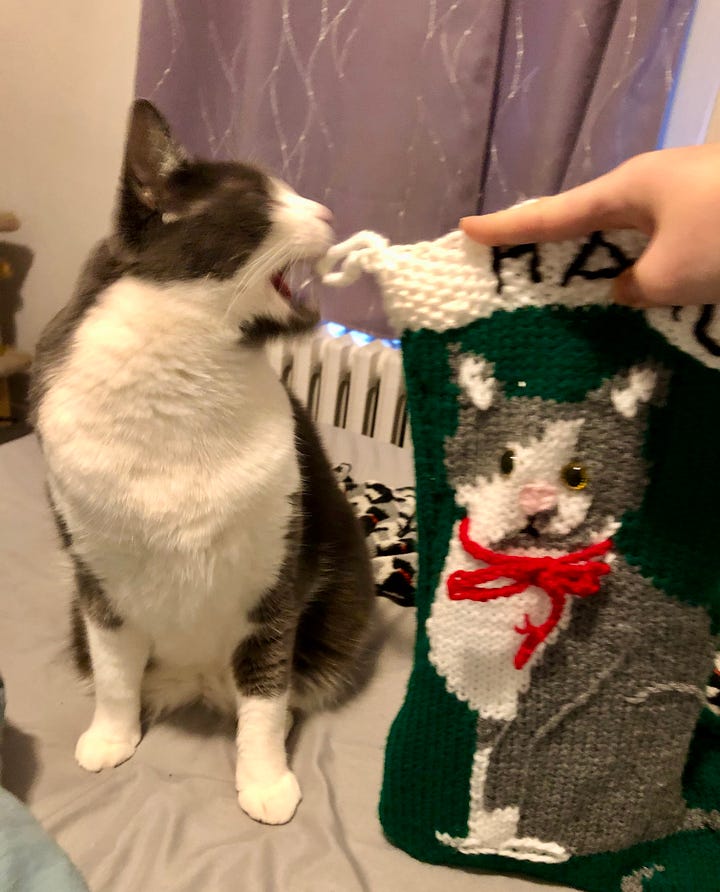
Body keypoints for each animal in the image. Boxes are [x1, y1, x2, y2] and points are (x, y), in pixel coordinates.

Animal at [31, 101, 374, 824]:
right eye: (260, 199)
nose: (330, 211)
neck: (181, 382)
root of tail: (196, 682)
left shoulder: (274, 582)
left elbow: (265, 697)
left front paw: (264, 780)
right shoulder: (97, 584)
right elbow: (113, 674)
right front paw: (112, 738)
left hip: (341, 606)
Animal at [428, 350, 716, 864]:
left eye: (577, 475)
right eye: (506, 461)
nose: (536, 503)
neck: (525, 570)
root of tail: (673, 818)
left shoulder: (555, 694)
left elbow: (504, 773)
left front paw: (493, 841)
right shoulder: (497, 704)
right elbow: (483, 768)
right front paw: (477, 838)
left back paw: (544, 847)